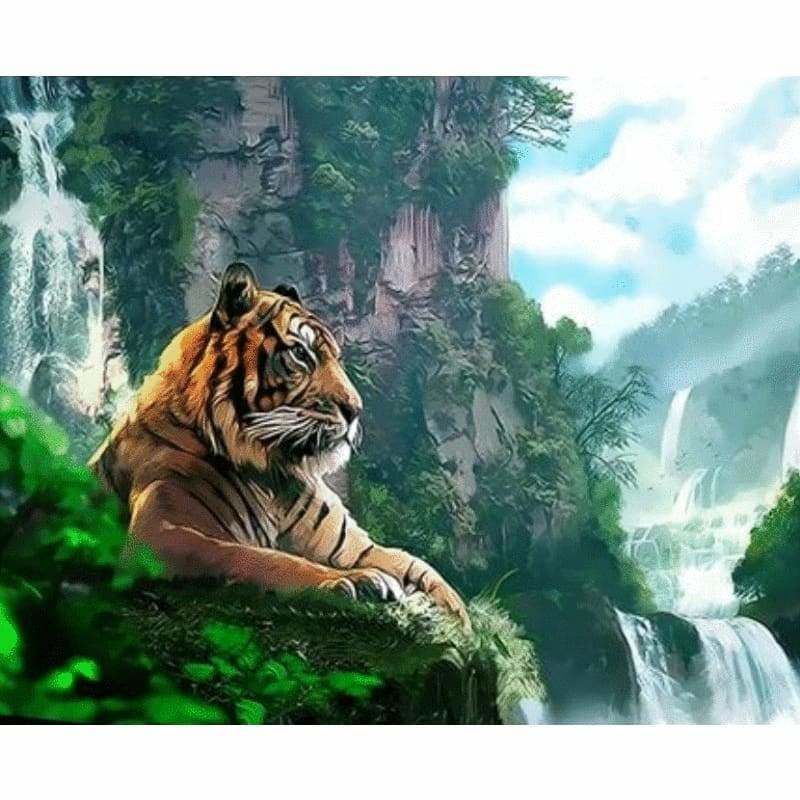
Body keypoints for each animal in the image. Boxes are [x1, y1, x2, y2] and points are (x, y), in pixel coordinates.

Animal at [90, 261, 469, 627]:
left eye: (336, 357)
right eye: (300, 353)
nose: (355, 410)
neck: (273, 473)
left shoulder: (351, 547)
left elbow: (420, 569)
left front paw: (463, 626)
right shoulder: (160, 531)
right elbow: (259, 558)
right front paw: (355, 581)